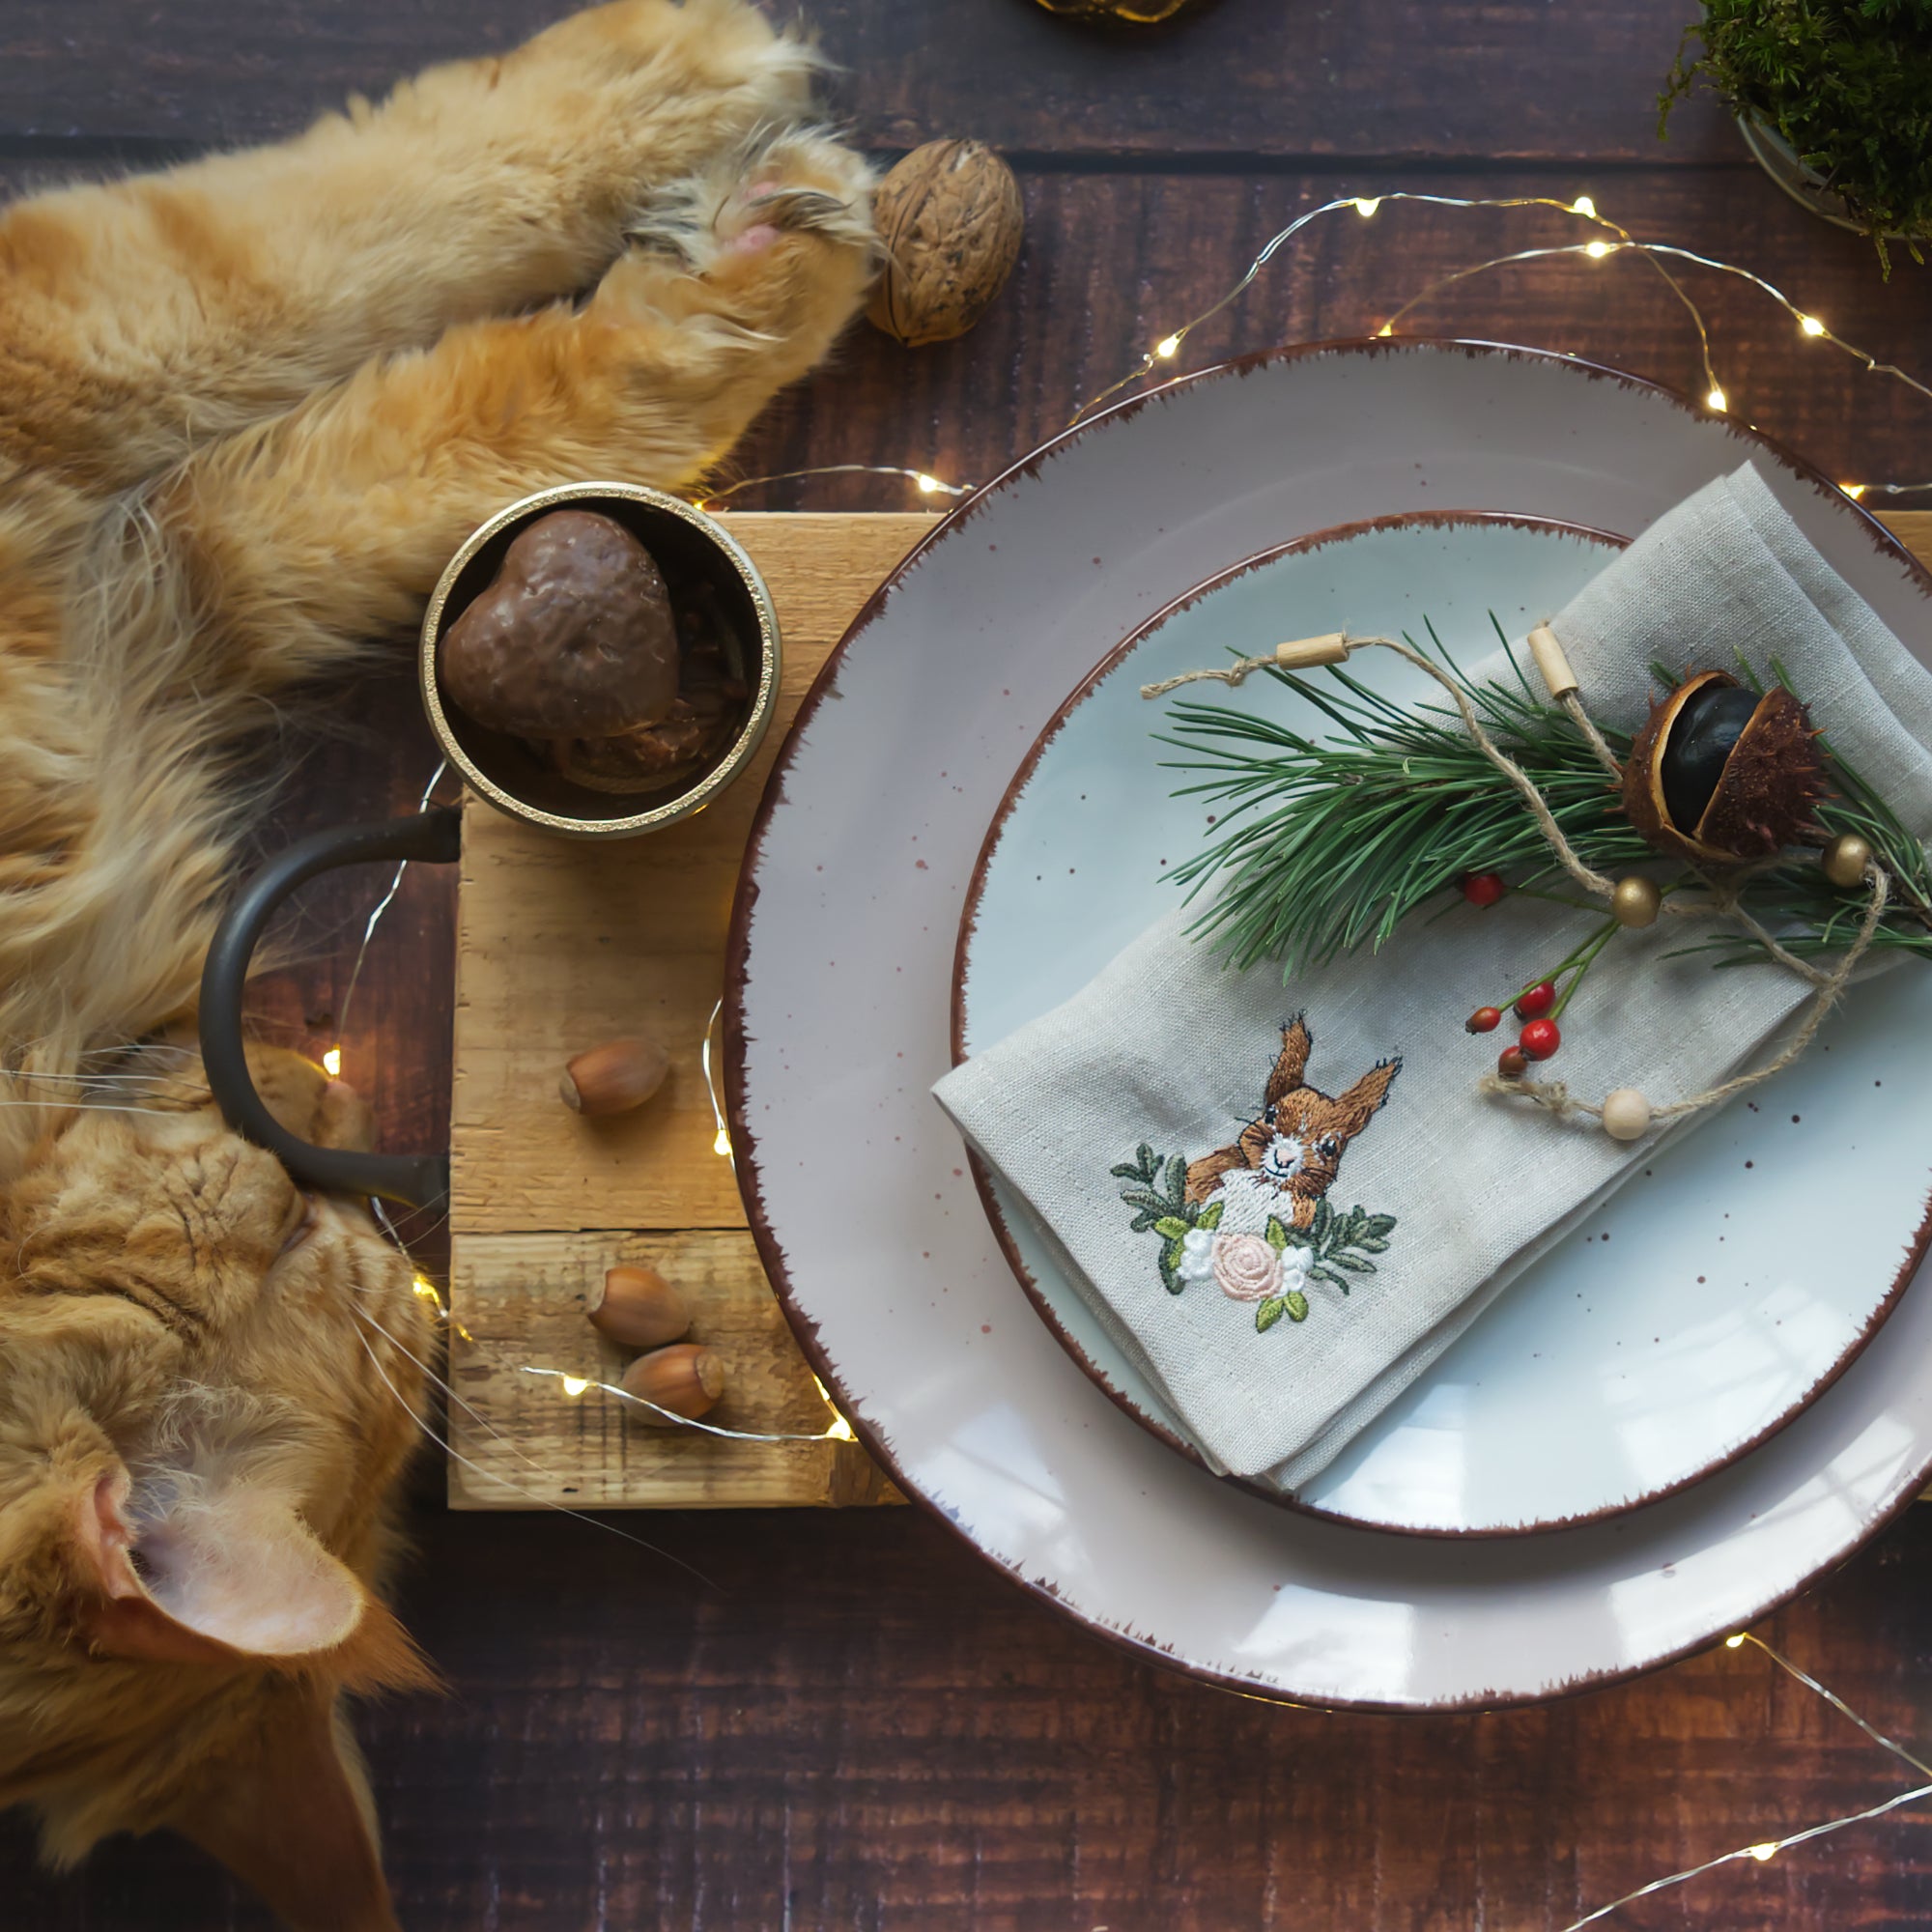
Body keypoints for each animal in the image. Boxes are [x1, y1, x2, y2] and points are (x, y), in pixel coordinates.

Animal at [0, 7, 877, 1924]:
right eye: (370, 1324)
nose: (398, 1256)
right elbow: (367, 364)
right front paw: (719, 213)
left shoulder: (99, 494)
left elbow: (354, 296)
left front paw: (681, 123)